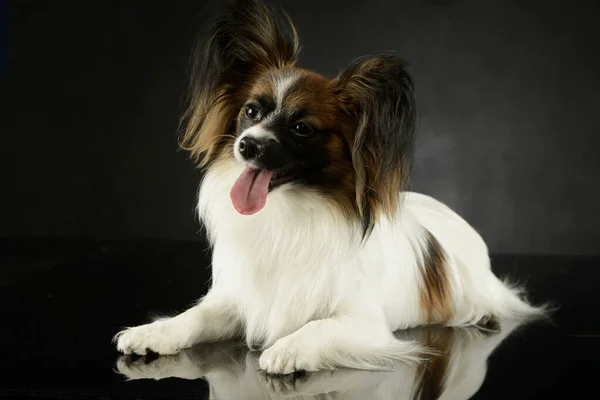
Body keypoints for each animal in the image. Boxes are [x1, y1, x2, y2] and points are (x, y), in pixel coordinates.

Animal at [115, 0, 548, 376]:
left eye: (301, 128)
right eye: (251, 111)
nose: (247, 145)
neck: (287, 212)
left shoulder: (365, 324)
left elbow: (317, 327)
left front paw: (287, 349)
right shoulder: (237, 298)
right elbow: (196, 315)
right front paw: (155, 331)